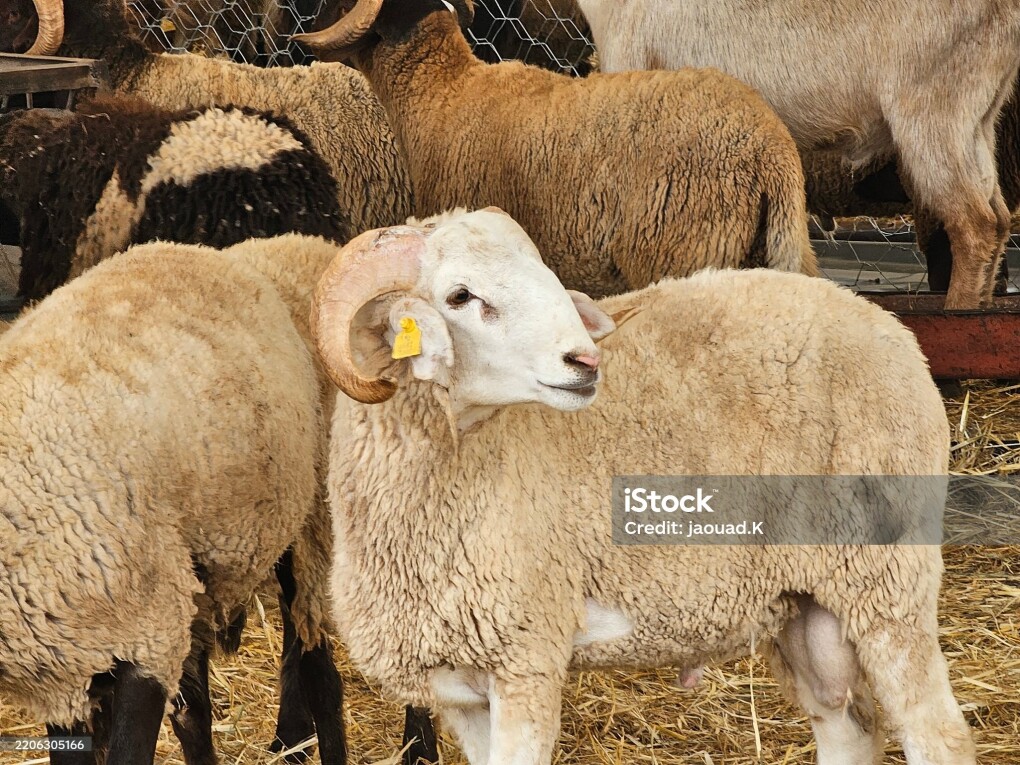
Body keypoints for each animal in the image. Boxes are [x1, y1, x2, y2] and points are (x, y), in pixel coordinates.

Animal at [310, 207, 973, 765]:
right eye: (460, 297)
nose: (584, 361)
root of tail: (890, 326)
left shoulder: (527, 657)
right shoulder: (459, 689)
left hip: (888, 576)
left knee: (938, 732)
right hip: (806, 600)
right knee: (847, 726)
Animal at [572, 0, 1020, 309]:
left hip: (933, 114)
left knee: (973, 223)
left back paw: (957, 315)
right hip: (978, 118)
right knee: (997, 217)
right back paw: (982, 307)